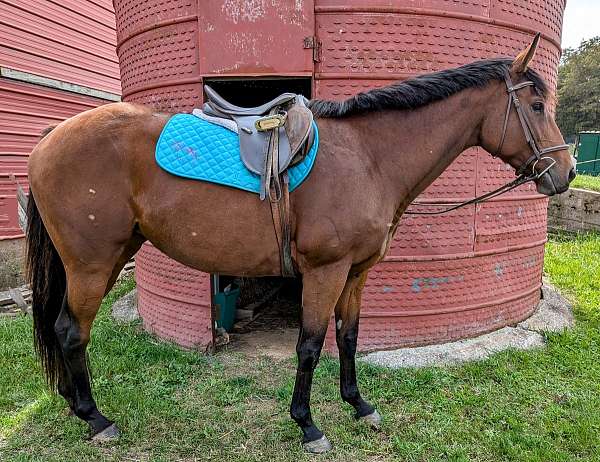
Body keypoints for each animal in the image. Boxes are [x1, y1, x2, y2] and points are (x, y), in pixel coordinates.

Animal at [27, 37, 572, 454]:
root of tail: (49, 139)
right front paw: (308, 425)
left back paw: (77, 408)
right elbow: (309, 345)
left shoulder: (356, 272)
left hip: (110, 257)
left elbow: (348, 338)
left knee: (64, 329)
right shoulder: (325, 271)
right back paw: (96, 419)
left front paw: (358, 405)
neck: (369, 158)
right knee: (72, 332)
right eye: (537, 106)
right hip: (91, 264)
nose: (565, 173)